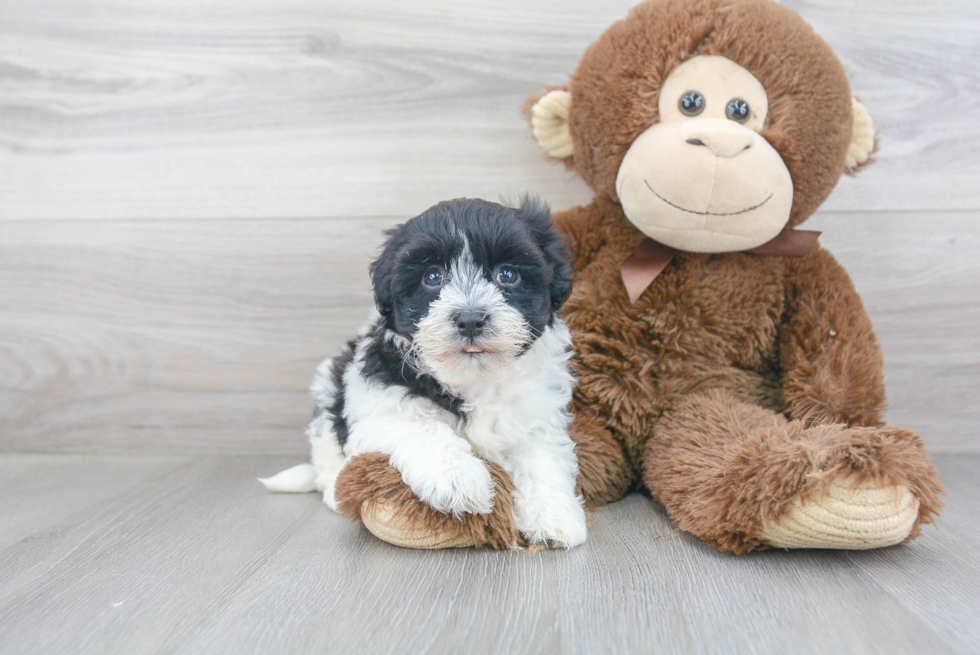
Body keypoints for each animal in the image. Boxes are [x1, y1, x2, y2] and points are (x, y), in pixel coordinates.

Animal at [256, 195, 584, 548]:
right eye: (432, 277)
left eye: (507, 275)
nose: (470, 319)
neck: (473, 378)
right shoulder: (377, 397)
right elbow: (420, 426)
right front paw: (458, 478)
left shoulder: (538, 413)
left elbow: (541, 461)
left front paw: (552, 517)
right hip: (329, 383)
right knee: (326, 446)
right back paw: (333, 488)